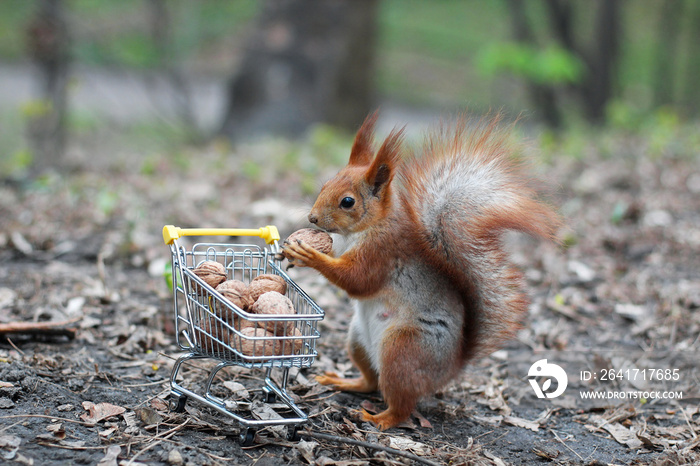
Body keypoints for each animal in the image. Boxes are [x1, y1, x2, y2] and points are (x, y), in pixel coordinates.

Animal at [282, 112, 560, 430]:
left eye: (348, 202)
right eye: (324, 185)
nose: (312, 218)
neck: (362, 230)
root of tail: (451, 368)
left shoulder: (382, 253)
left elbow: (358, 281)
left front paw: (309, 255)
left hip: (403, 351)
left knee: (401, 404)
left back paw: (378, 418)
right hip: (357, 340)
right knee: (371, 381)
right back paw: (346, 383)